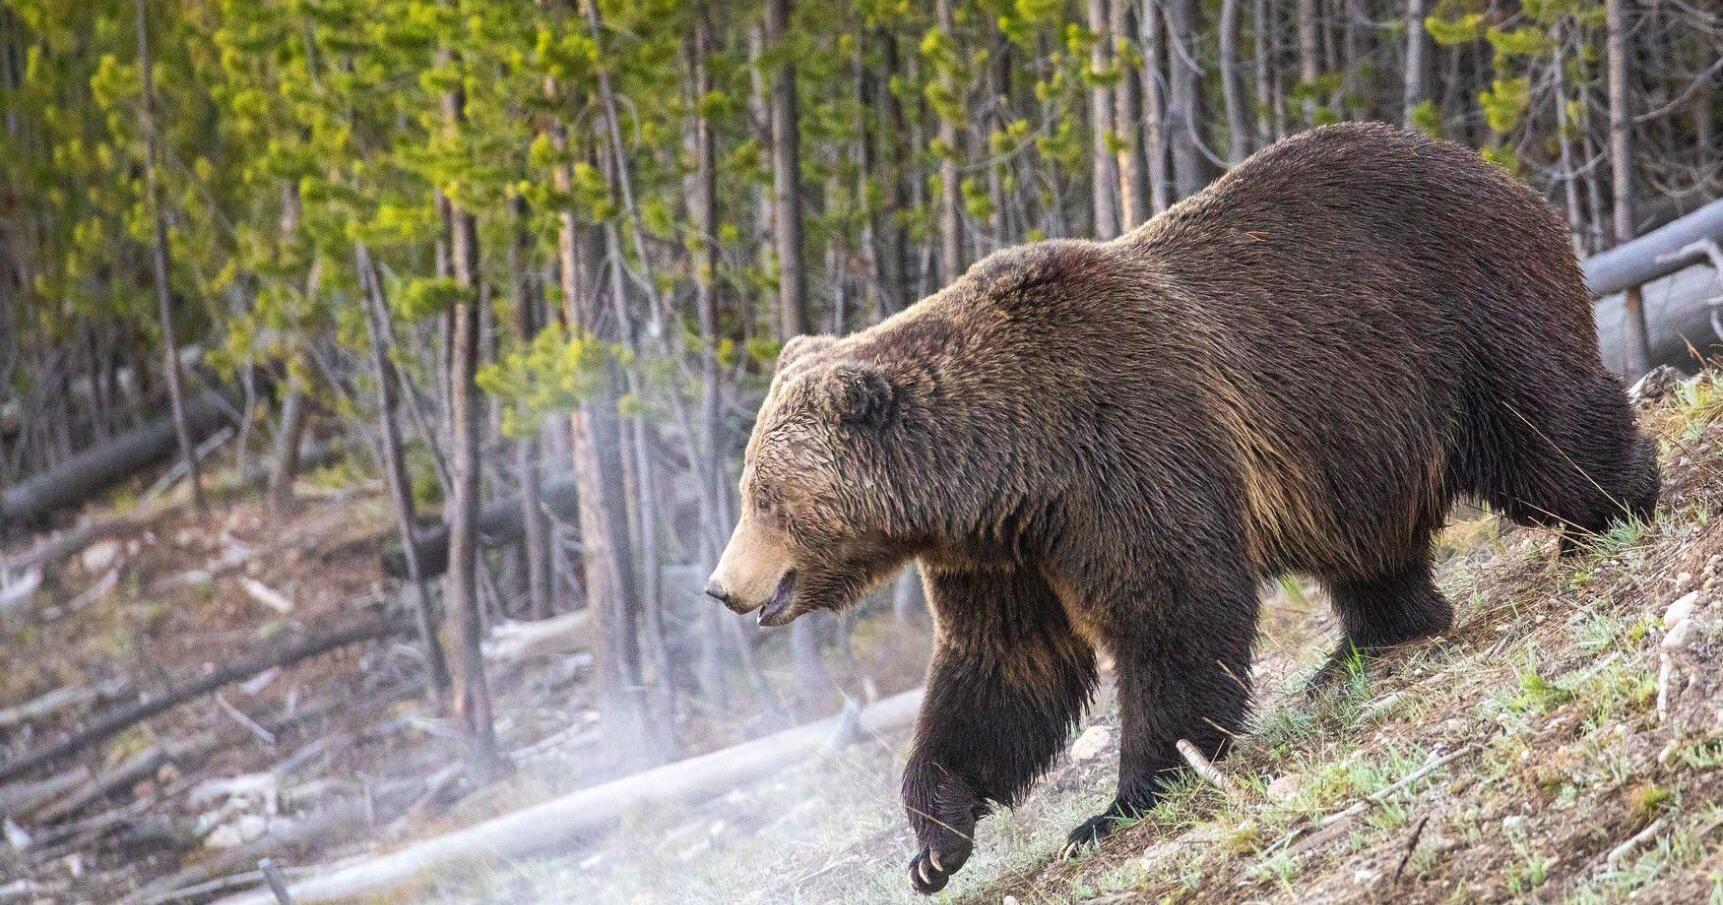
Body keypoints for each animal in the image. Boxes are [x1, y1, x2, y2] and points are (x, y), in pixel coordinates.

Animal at [703, 122, 1659, 895]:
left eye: (761, 494)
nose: (721, 586)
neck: (1004, 464)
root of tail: (1498, 171)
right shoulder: (1005, 549)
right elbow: (1001, 668)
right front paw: (935, 839)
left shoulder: (1124, 448)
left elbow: (1172, 607)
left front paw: (1122, 799)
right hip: (1353, 434)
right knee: (1367, 541)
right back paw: (1364, 641)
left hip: (1456, 315)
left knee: (1540, 427)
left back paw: (1617, 502)